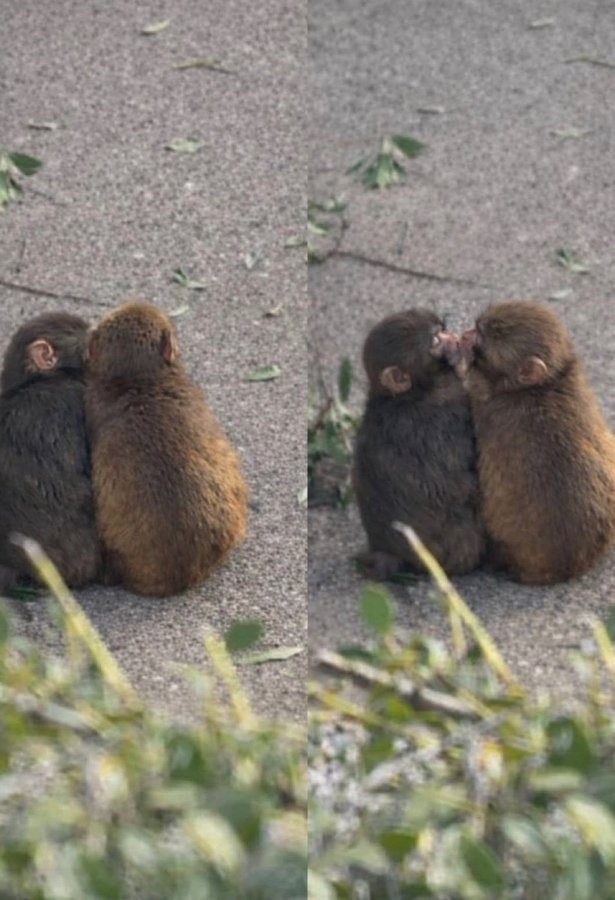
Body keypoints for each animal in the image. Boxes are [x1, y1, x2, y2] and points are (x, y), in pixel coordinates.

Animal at [352, 308, 485, 580]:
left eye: (442, 329)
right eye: (435, 340)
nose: (456, 339)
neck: (406, 395)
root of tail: (389, 552)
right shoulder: (445, 413)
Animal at [459, 300, 615, 585]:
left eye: (481, 338)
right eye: (476, 328)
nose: (465, 335)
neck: (545, 384)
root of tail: (568, 567)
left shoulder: (489, 406)